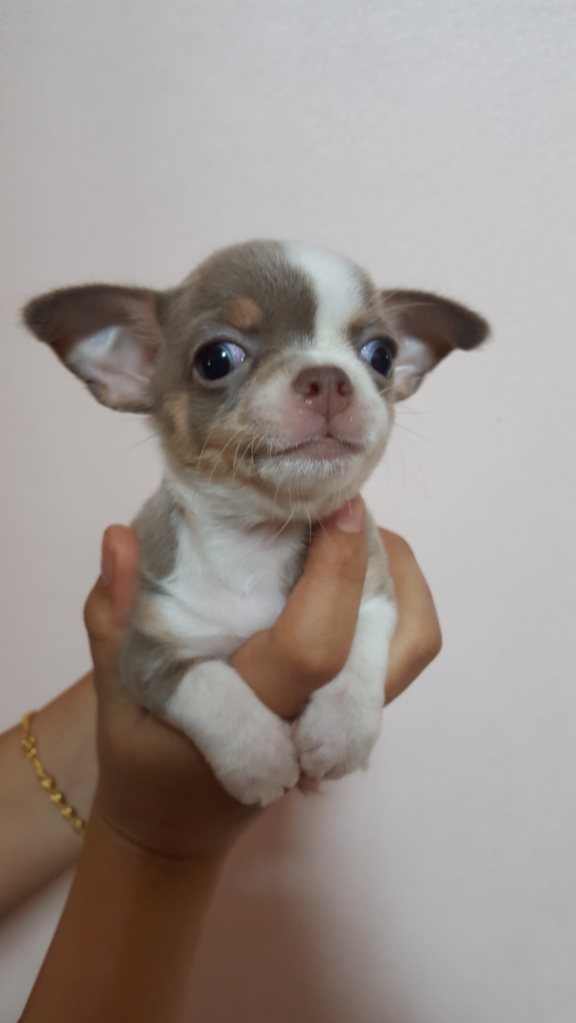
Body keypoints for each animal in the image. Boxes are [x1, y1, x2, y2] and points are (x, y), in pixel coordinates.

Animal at [24, 240, 488, 806]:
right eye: (216, 359)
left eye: (381, 355)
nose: (328, 378)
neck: (256, 540)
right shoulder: (147, 654)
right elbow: (208, 686)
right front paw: (260, 761)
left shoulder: (374, 588)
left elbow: (358, 649)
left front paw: (341, 732)